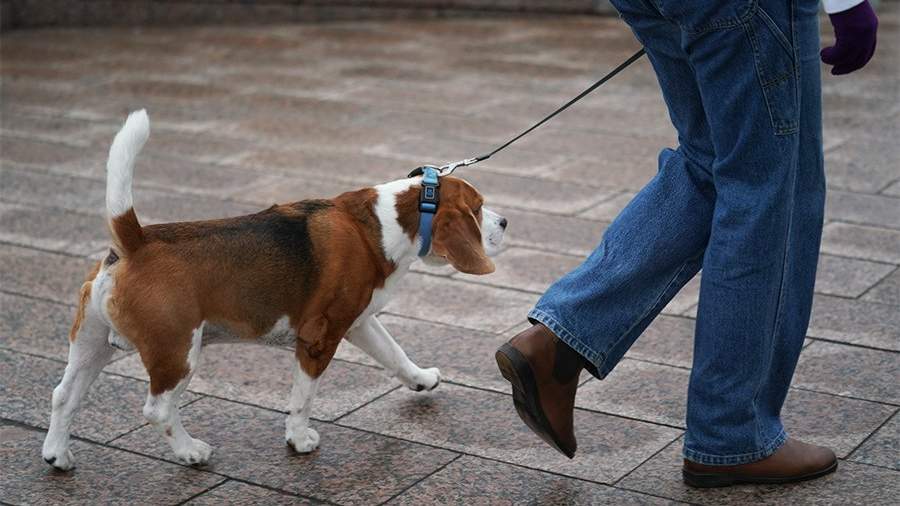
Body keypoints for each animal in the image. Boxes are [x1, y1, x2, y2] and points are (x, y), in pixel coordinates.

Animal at [44, 110, 506, 470]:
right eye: (479, 208)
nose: (505, 222)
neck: (384, 222)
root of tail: (136, 241)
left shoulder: (359, 322)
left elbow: (395, 354)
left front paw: (421, 379)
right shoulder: (319, 338)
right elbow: (303, 398)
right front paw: (299, 439)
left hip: (92, 344)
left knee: (64, 395)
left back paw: (57, 455)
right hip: (177, 351)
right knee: (157, 409)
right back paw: (191, 451)